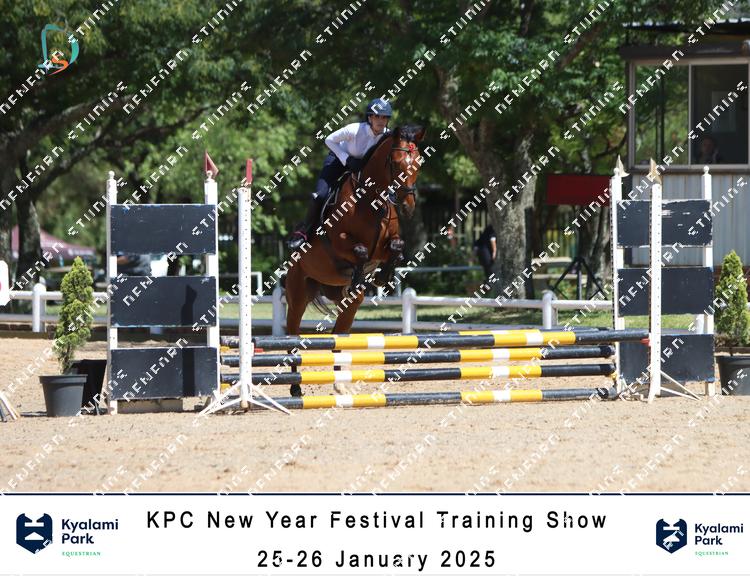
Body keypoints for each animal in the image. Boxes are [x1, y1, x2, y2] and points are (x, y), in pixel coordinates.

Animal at [284, 124, 426, 396]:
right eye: (396, 162)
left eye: (419, 163)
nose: (408, 205)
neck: (371, 200)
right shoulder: (339, 241)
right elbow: (359, 250)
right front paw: (362, 274)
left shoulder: (387, 244)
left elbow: (397, 247)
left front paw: (381, 277)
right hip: (298, 294)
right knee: (292, 337)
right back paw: (296, 388)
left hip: (344, 302)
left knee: (338, 334)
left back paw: (340, 383)